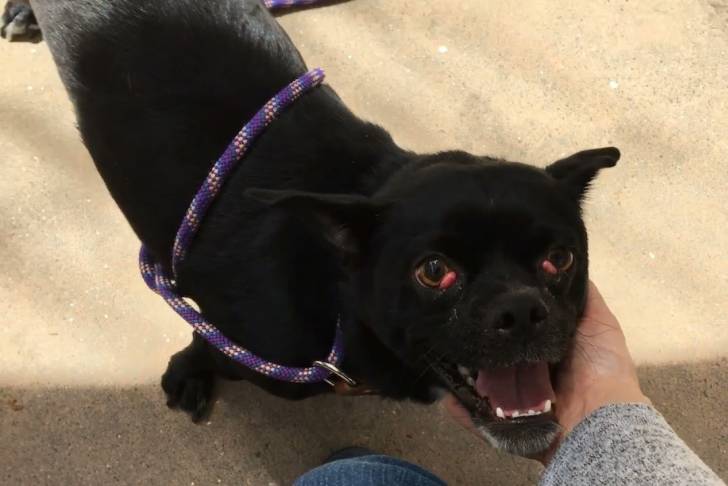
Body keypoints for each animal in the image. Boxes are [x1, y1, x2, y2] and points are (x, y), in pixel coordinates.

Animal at [28, 0, 620, 456]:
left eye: (561, 259)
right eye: (433, 271)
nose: (520, 311)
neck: (338, 295)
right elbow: (202, 342)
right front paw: (189, 371)